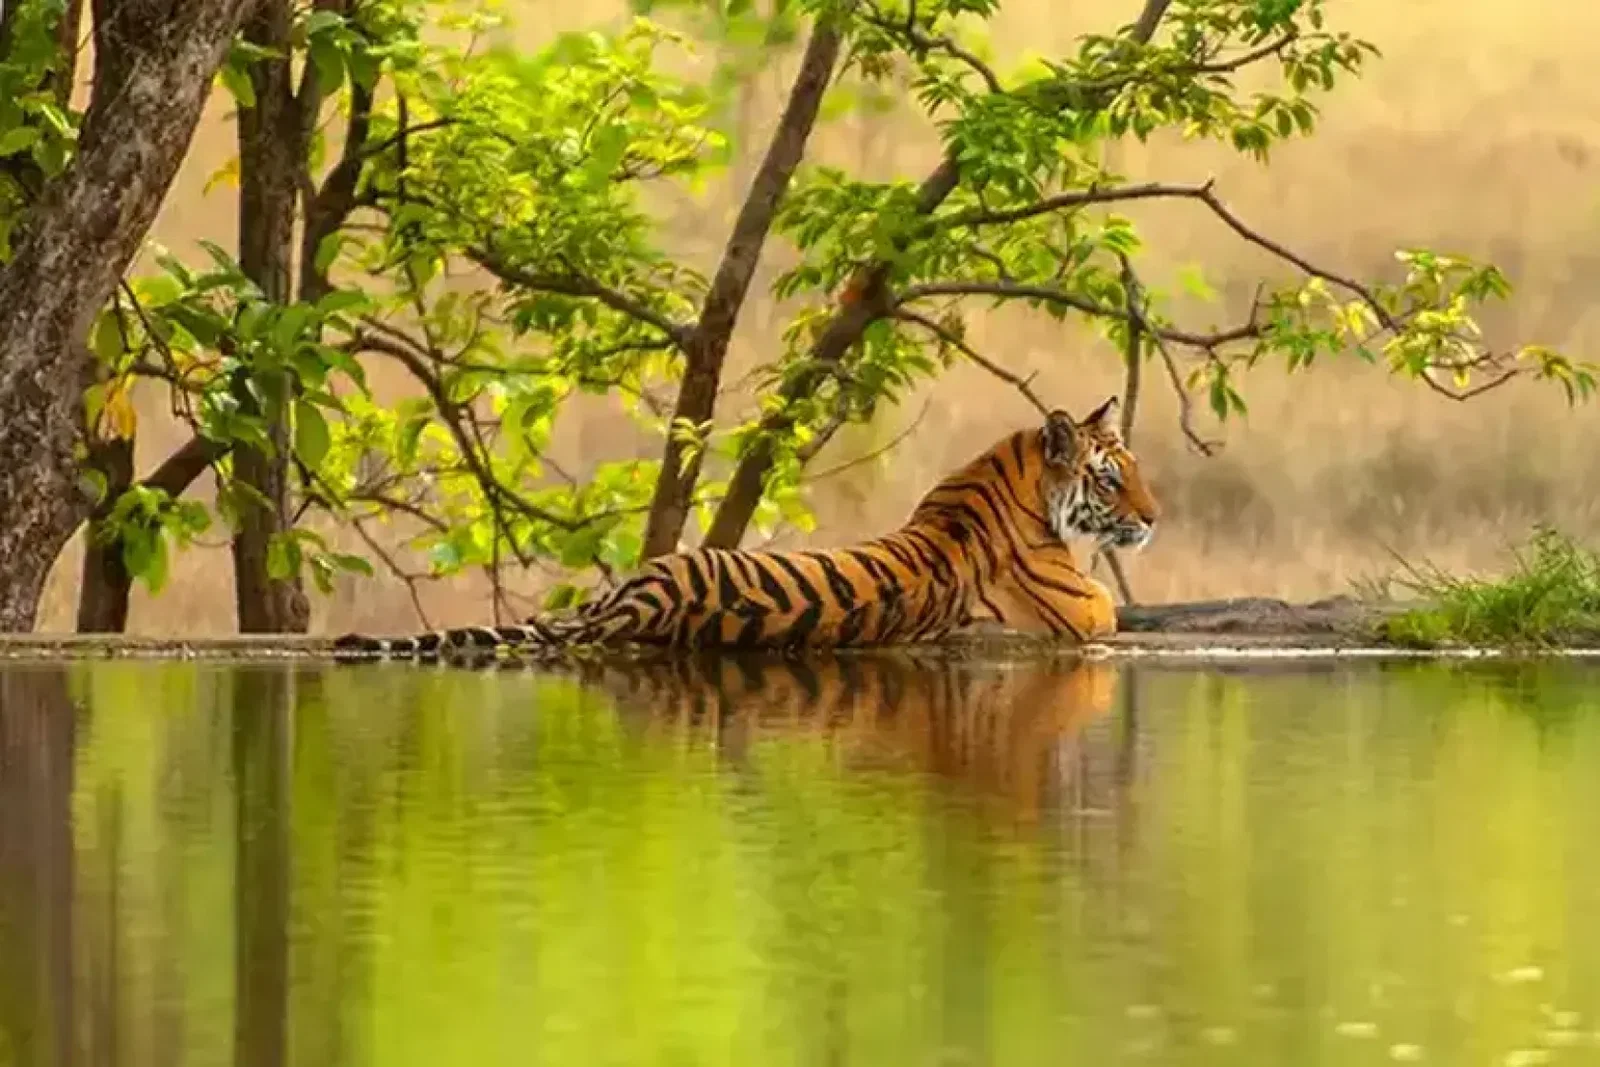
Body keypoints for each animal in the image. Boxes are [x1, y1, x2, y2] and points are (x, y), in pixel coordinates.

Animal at [330, 396, 1160, 663]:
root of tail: (630, 607)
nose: (1154, 518)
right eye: (1111, 477)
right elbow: (1111, 608)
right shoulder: (1086, 610)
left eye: (1134, 468)